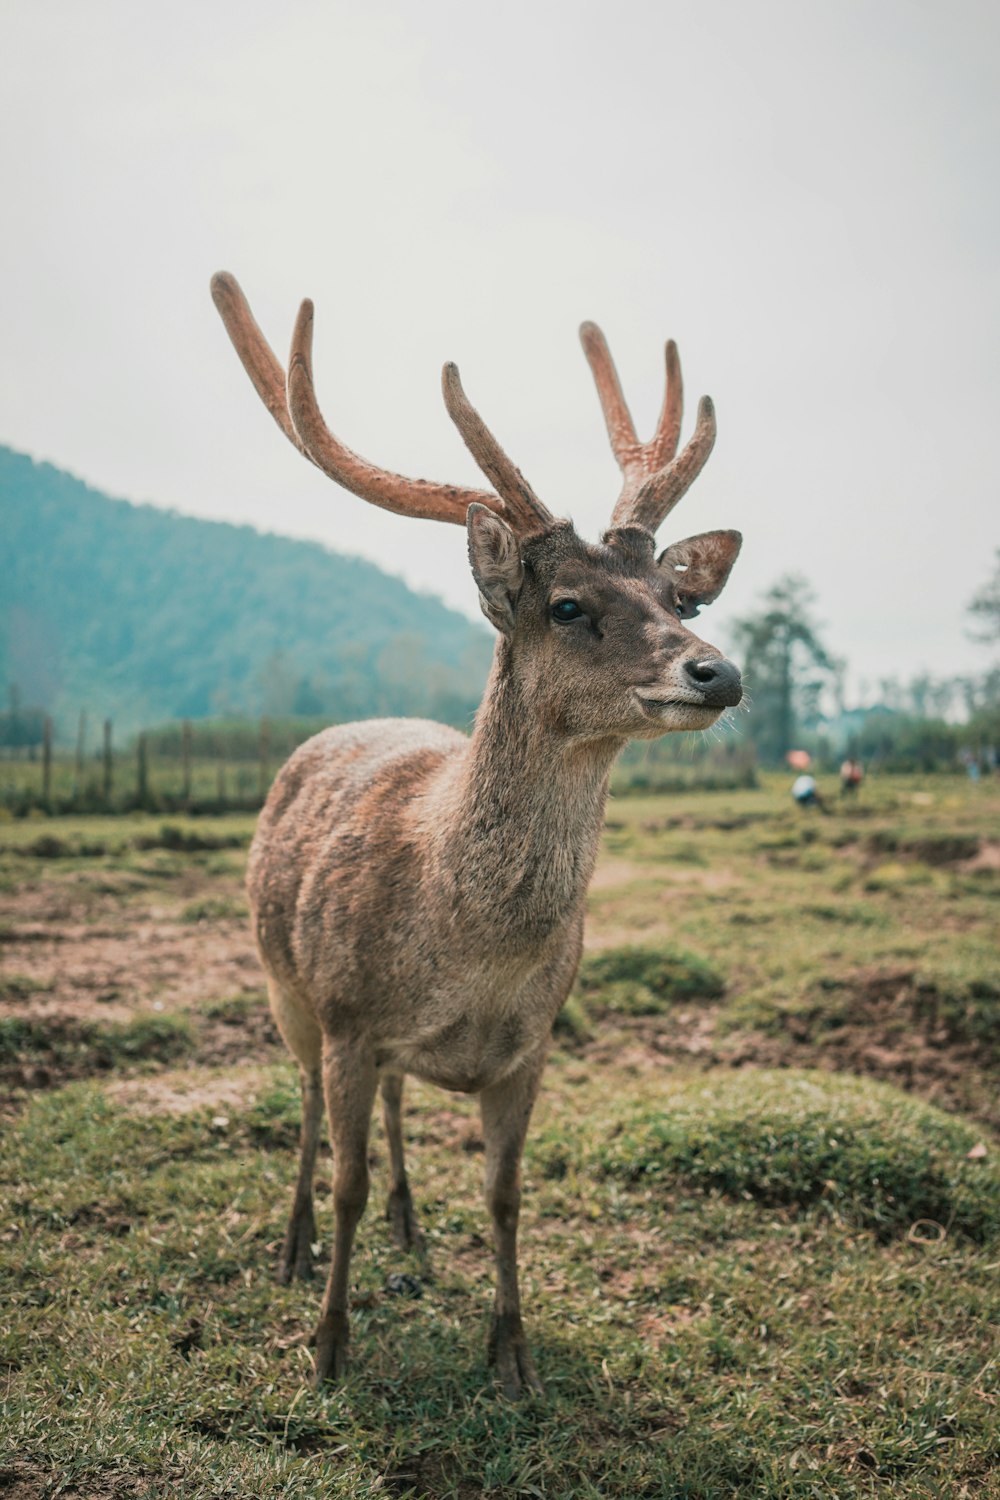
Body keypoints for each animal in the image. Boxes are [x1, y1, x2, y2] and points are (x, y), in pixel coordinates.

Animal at [211, 273, 743, 1404]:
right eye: (568, 605)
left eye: (678, 596)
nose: (717, 669)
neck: (468, 959)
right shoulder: (347, 1017)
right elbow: (347, 1181)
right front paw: (327, 1350)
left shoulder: (531, 1045)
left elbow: (505, 1196)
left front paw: (513, 1358)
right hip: (284, 986)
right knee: (310, 1115)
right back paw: (294, 1248)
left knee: (397, 1109)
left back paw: (413, 1228)